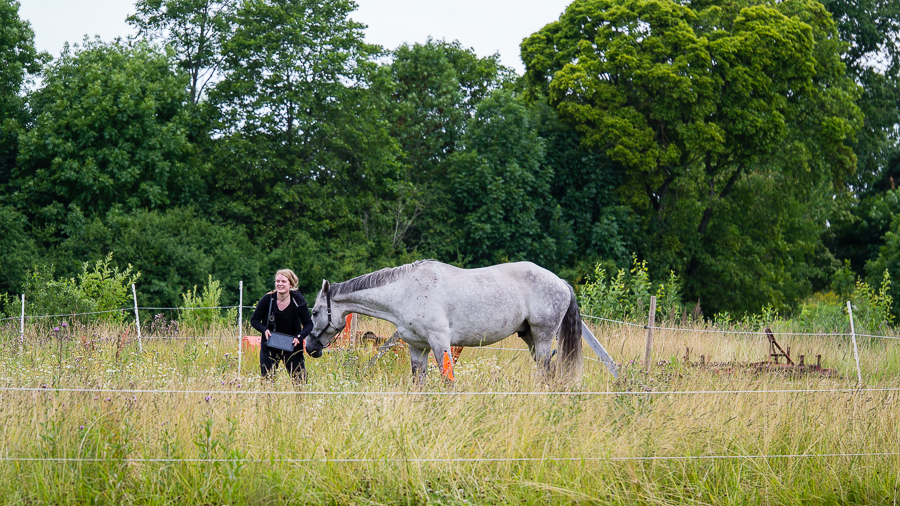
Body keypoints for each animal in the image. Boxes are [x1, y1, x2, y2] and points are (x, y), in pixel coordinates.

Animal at [306, 258, 592, 382]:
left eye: (314, 312)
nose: (309, 347)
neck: (406, 291)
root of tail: (561, 283)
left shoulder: (440, 343)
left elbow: (447, 380)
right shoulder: (417, 347)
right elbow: (419, 381)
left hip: (543, 337)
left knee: (545, 372)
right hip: (529, 337)